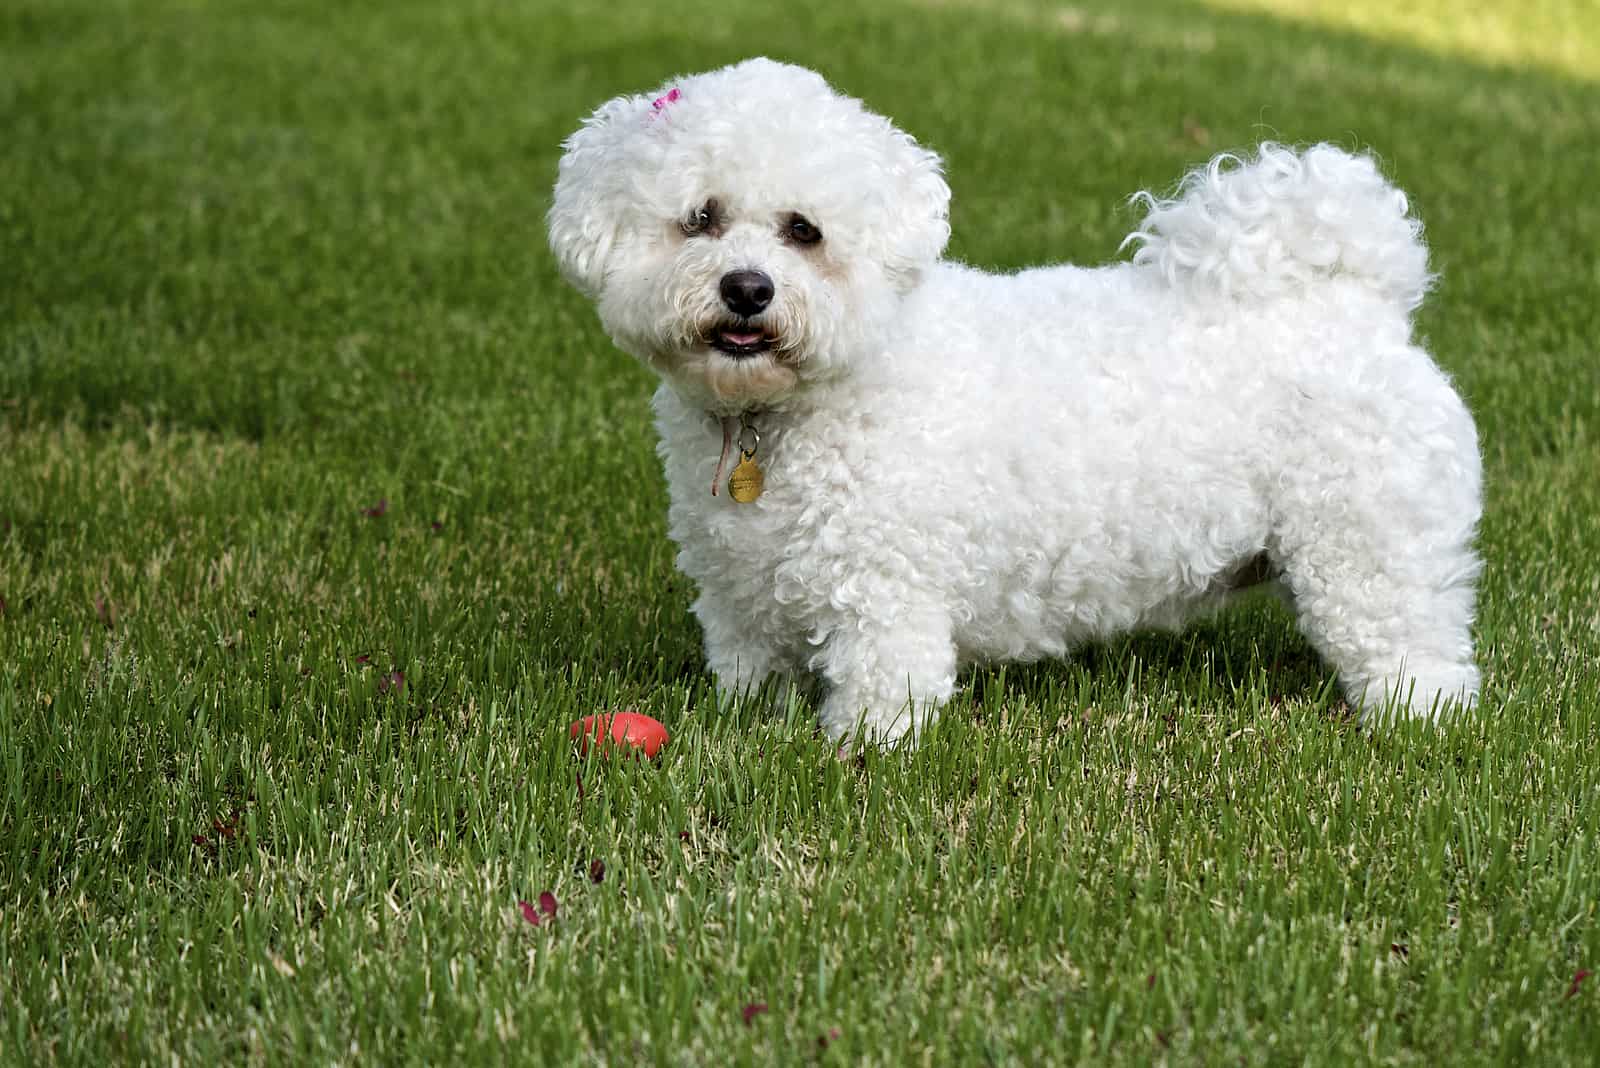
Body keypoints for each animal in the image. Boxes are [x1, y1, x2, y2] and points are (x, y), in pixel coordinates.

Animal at [550, 56, 1484, 741]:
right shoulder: (737, 590)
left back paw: (1419, 721)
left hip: (1366, 549)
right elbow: (749, 673)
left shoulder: (886, 589)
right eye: (699, 219)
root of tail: (1360, 300)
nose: (747, 289)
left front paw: (861, 754)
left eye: (803, 231)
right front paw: (750, 730)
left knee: (1416, 649)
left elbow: (883, 691)